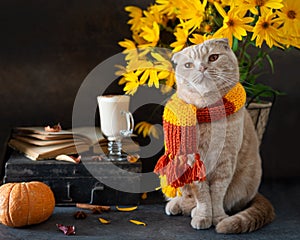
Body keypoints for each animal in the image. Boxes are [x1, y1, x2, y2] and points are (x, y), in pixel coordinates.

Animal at [165, 38, 276, 233]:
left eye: (213, 57)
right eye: (188, 65)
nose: (202, 68)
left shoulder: (226, 160)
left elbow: (216, 195)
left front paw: (216, 218)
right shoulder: (195, 161)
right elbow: (202, 195)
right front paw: (203, 216)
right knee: (186, 196)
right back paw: (179, 205)